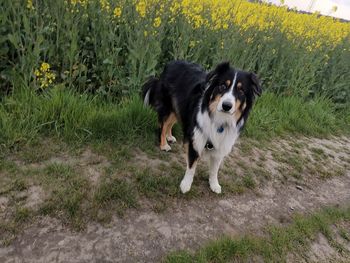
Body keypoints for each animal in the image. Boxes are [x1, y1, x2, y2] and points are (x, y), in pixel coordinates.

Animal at [142, 61, 260, 194]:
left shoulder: (221, 145)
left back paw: (169, 136)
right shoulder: (197, 140)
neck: (219, 119)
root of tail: (172, 63)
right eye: (223, 86)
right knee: (163, 125)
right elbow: (192, 165)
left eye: (241, 91)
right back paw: (164, 144)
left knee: (171, 123)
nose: (226, 106)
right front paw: (186, 185)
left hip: (180, 108)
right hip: (169, 107)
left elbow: (214, 169)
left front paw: (214, 184)